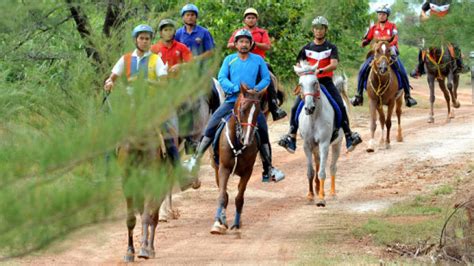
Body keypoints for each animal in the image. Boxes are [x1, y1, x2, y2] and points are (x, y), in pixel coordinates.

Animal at [208, 84, 264, 234]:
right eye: (243, 110)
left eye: (257, 113)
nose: (247, 139)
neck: (238, 142)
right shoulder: (223, 168)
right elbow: (223, 196)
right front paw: (218, 223)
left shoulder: (247, 172)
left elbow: (239, 198)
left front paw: (237, 224)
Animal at [294, 62, 342, 208]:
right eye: (300, 84)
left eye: (315, 82)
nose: (309, 108)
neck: (314, 118)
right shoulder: (307, 145)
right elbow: (310, 172)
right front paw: (310, 196)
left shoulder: (324, 144)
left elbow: (322, 172)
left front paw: (321, 199)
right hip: (315, 148)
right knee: (317, 162)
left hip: (337, 144)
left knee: (332, 167)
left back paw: (332, 193)